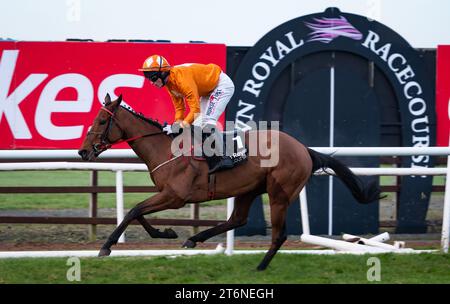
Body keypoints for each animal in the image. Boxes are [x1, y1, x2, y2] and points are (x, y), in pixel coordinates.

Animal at [79, 93, 382, 270]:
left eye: (102, 120)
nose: (83, 151)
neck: (167, 149)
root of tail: (303, 149)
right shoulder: (166, 194)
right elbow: (137, 212)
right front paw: (168, 233)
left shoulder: (175, 196)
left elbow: (134, 210)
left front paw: (106, 246)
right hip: (248, 189)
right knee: (237, 219)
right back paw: (195, 239)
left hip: (279, 192)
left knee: (279, 233)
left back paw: (260, 266)